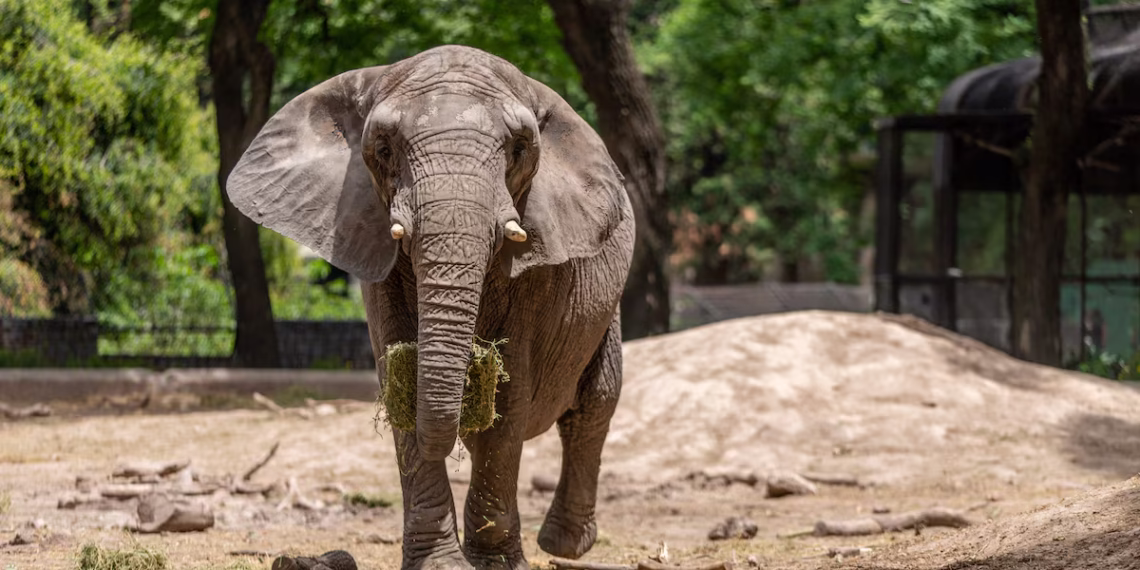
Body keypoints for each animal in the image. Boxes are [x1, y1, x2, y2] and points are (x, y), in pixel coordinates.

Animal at [227, 45, 635, 570]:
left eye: (519, 149)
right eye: (383, 149)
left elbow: (510, 395)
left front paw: (496, 564)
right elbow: (398, 377)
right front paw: (440, 563)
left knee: (594, 401)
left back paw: (563, 545)